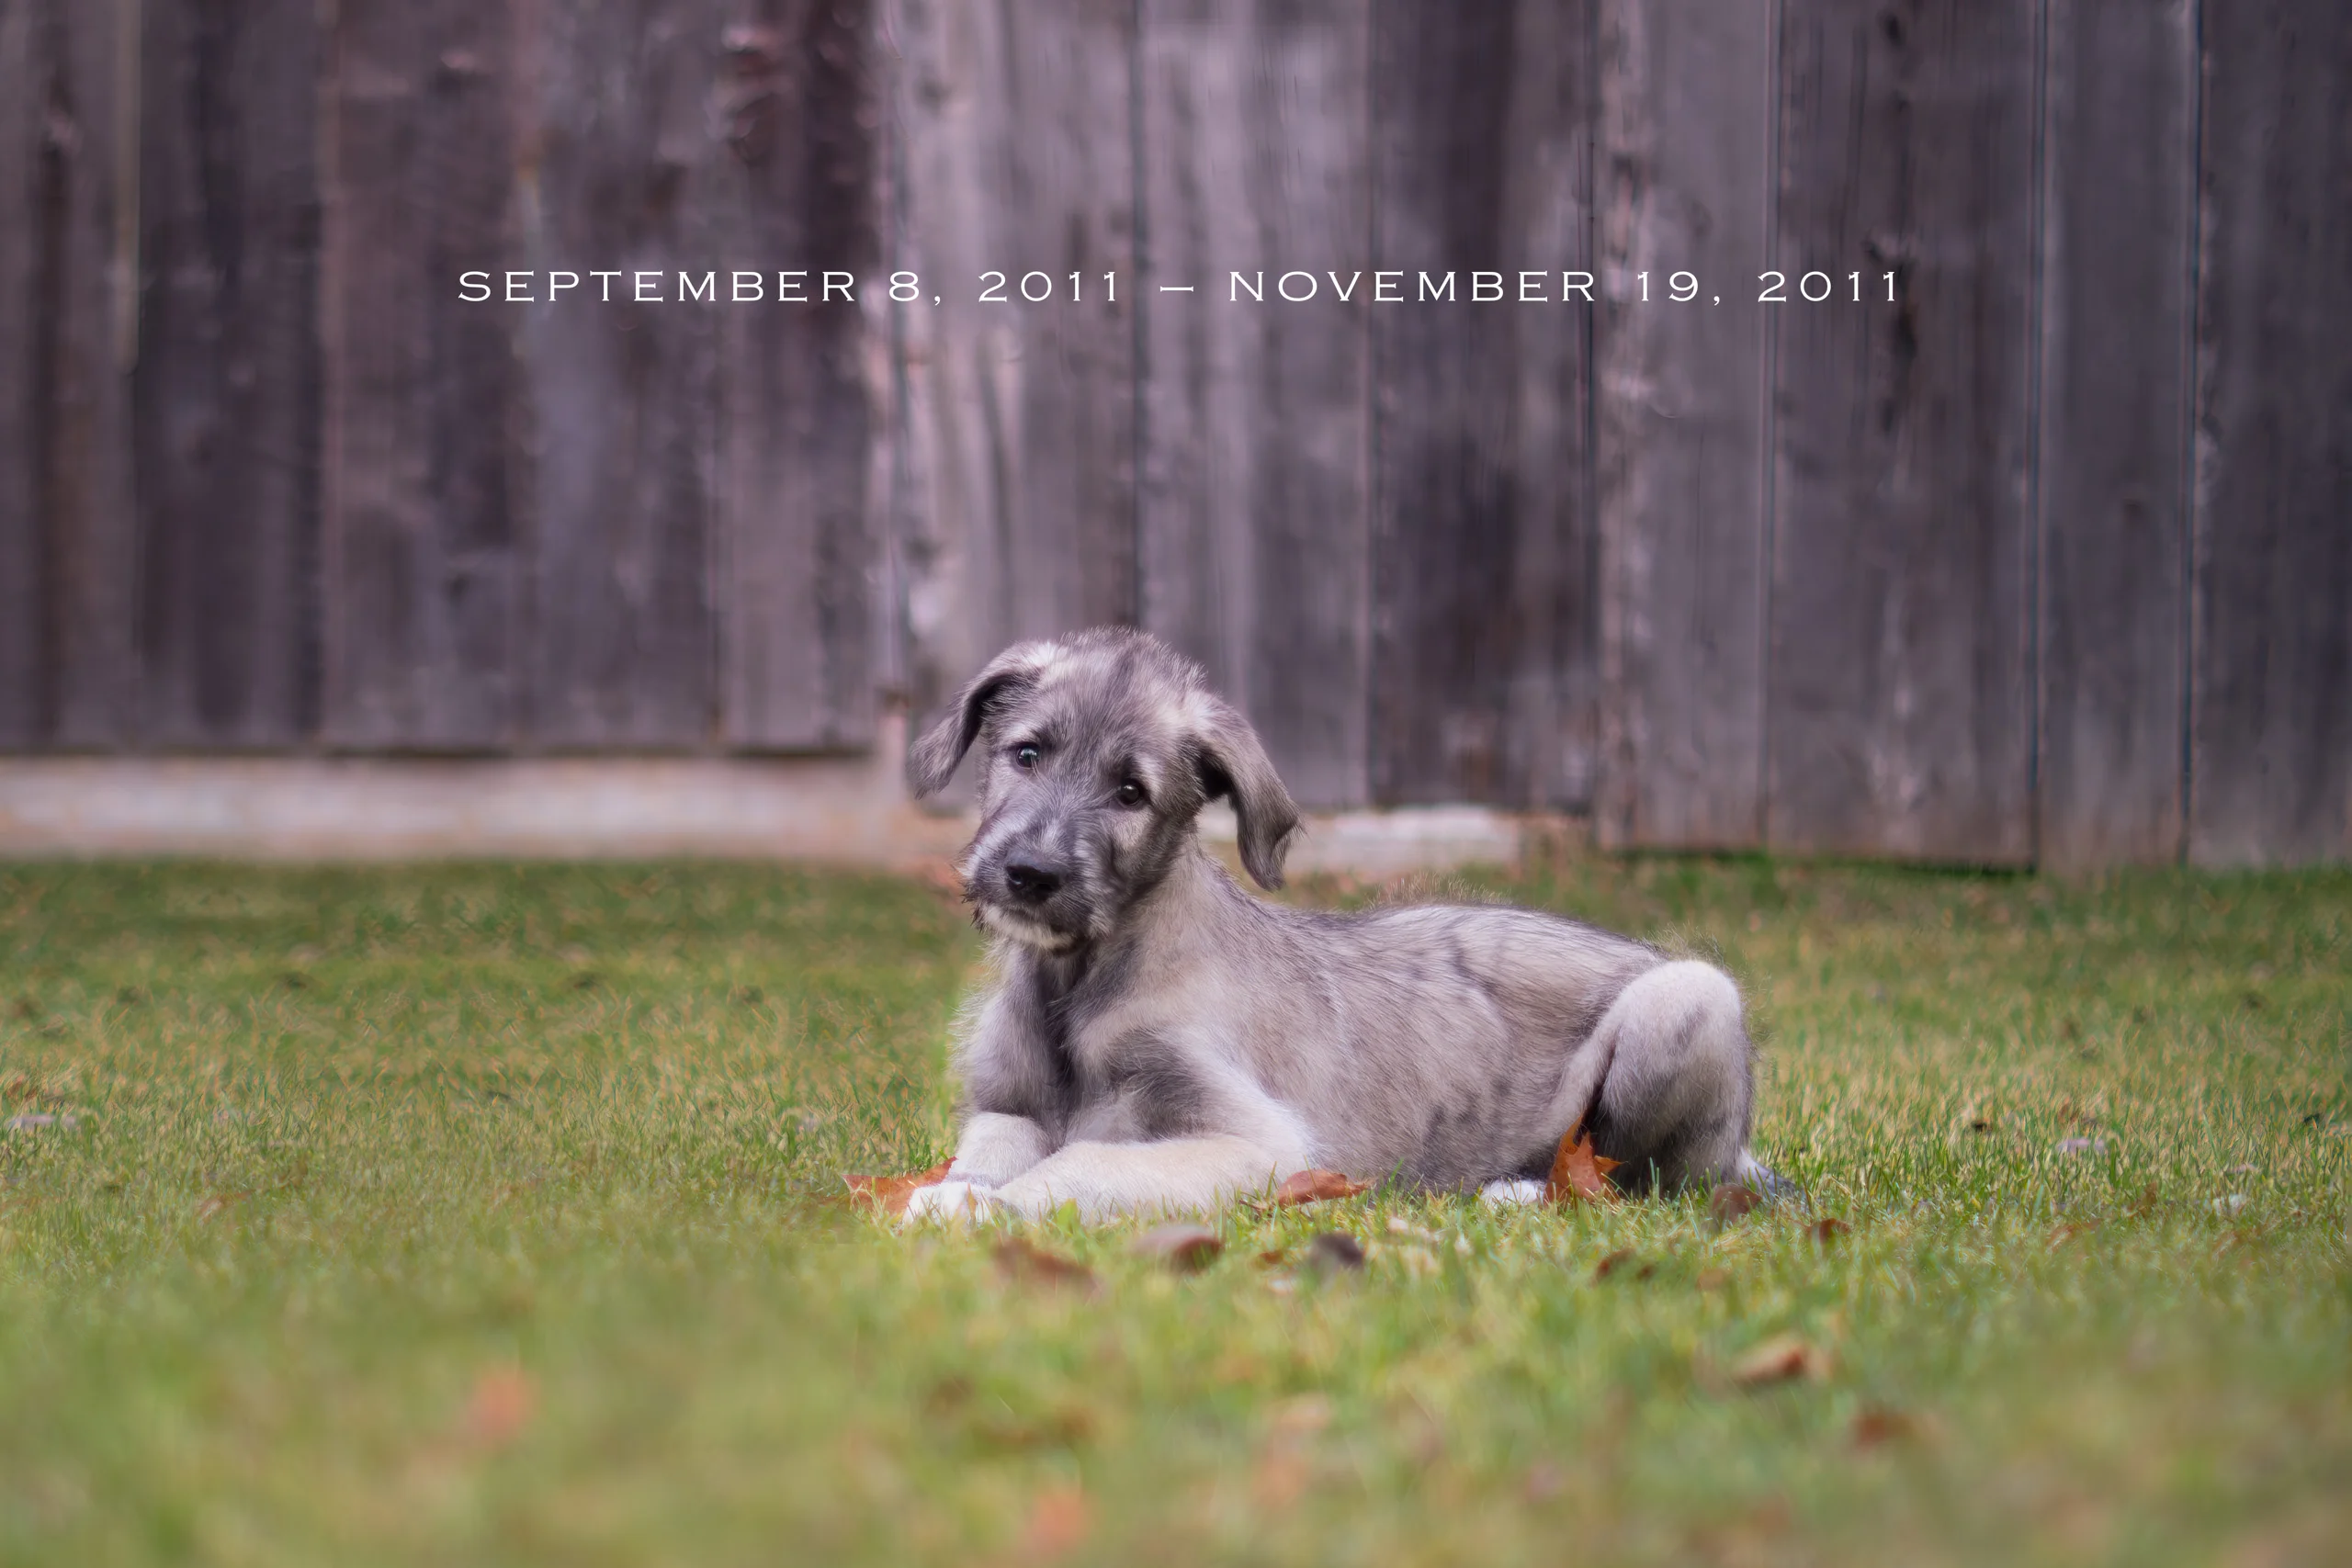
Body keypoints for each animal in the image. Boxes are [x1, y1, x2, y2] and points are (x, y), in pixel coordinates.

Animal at [901, 628, 1778, 1222]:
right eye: (1026, 753)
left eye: (1130, 792)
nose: (1030, 874)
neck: (1081, 979)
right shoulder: (1007, 1108)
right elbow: (988, 1150)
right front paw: (962, 1191)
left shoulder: (1257, 1143)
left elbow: (1085, 1161)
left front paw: (984, 1208)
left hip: (1689, 997)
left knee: (1639, 1181)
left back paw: (1519, 1190)